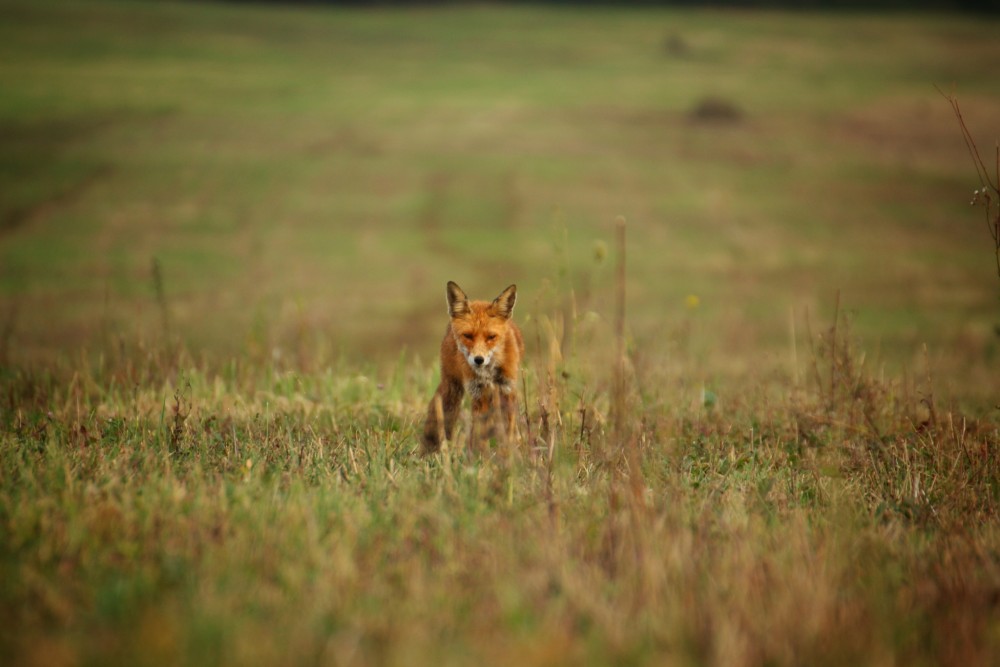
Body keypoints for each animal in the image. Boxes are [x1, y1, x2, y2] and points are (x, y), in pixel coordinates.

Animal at [422, 282, 528, 454]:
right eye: (468, 336)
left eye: (491, 337)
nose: (479, 360)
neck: (489, 372)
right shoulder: (478, 394)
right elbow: (480, 436)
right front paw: (482, 457)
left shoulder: (507, 389)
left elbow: (509, 430)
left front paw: (509, 454)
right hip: (453, 389)